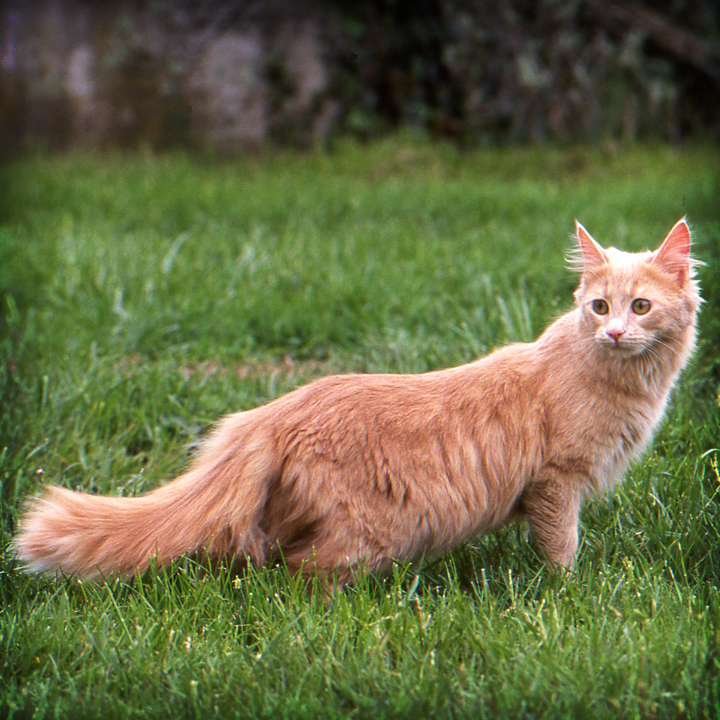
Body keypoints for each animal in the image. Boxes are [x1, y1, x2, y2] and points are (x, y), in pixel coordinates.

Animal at [12, 219, 696, 584]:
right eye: (599, 306)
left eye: (640, 307)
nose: (614, 332)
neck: (619, 380)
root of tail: (271, 415)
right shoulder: (557, 481)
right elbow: (561, 550)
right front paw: (566, 590)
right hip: (371, 531)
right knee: (298, 572)